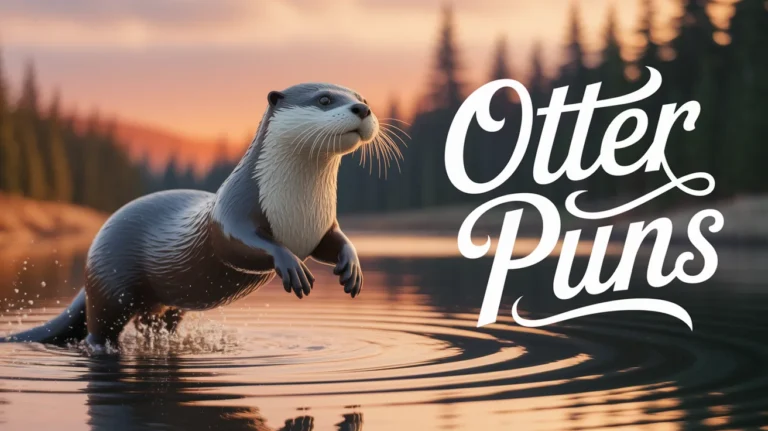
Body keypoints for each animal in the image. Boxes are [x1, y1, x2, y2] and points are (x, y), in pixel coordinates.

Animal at [2, 83, 393, 349]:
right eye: (324, 99)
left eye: (363, 96)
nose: (362, 108)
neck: (297, 208)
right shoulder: (232, 211)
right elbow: (242, 243)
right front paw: (290, 264)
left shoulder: (319, 226)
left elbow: (333, 242)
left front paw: (351, 266)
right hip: (111, 284)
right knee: (99, 328)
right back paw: (103, 347)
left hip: (161, 304)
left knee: (154, 322)